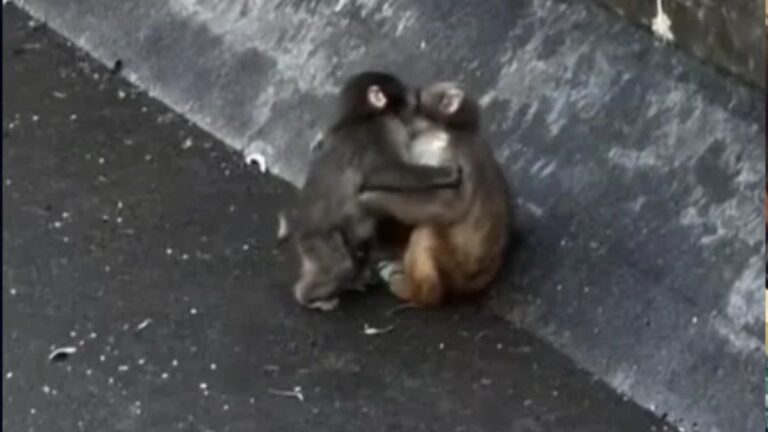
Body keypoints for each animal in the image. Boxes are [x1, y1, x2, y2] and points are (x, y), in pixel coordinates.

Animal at [288, 72, 464, 310]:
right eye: (402, 90)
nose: (415, 94)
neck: (361, 117)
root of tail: (301, 232)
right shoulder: (385, 128)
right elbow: (384, 173)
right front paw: (447, 173)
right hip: (318, 240)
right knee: (340, 263)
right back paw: (308, 297)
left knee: (359, 244)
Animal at [357, 81, 513, 306]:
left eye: (419, 98)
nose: (412, 95)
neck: (445, 128)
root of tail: (475, 282)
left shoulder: (439, 149)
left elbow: (446, 203)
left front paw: (372, 199)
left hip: (453, 268)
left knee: (426, 232)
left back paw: (417, 292)